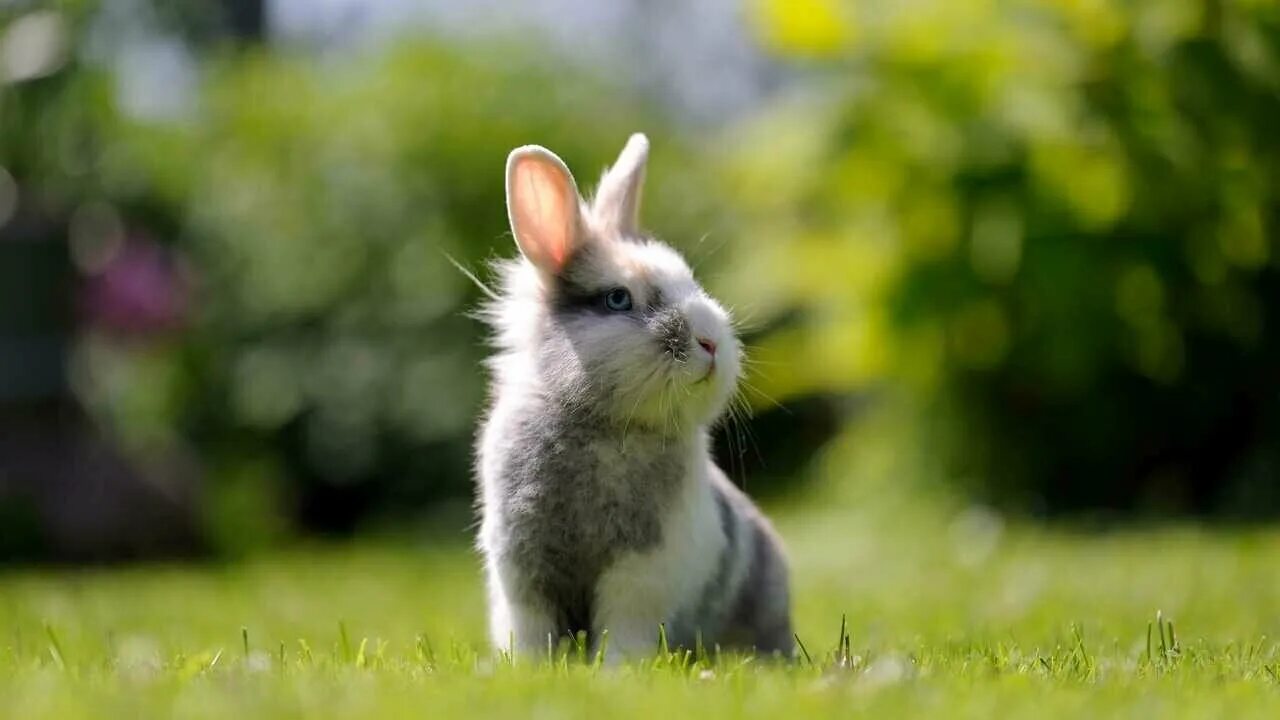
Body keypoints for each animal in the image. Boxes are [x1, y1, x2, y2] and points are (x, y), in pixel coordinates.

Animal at [475, 133, 792, 660]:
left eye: (691, 282)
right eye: (618, 299)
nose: (711, 343)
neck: (603, 427)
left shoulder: (639, 574)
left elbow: (623, 632)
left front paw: (617, 670)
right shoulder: (523, 575)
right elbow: (533, 633)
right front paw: (528, 669)